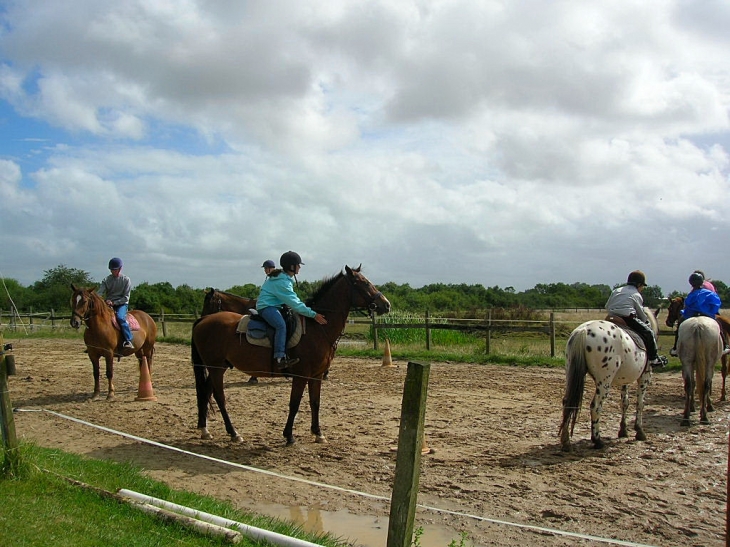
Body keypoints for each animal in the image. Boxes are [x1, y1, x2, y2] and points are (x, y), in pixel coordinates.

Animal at [191, 266, 390, 446]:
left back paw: (205, 430)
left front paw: (318, 433)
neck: (317, 328)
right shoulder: (301, 375)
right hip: (216, 367)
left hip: (218, 367)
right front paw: (289, 436)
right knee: (219, 397)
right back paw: (233, 433)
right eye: (364, 283)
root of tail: (203, 320)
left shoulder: (316, 375)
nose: (386, 304)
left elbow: (315, 402)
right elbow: (294, 403)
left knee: (206, 391)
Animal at [556, 306, 660, 452]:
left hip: (571, 374)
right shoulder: (645, 376)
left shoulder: (625, 380)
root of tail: (583, 331)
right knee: (595, 406)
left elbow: (625, 402)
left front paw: (623, 431)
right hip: (604, 382)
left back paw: (566, 442)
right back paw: (597, 440)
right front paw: (639, 431)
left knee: (567, 402)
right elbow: (640, 403)